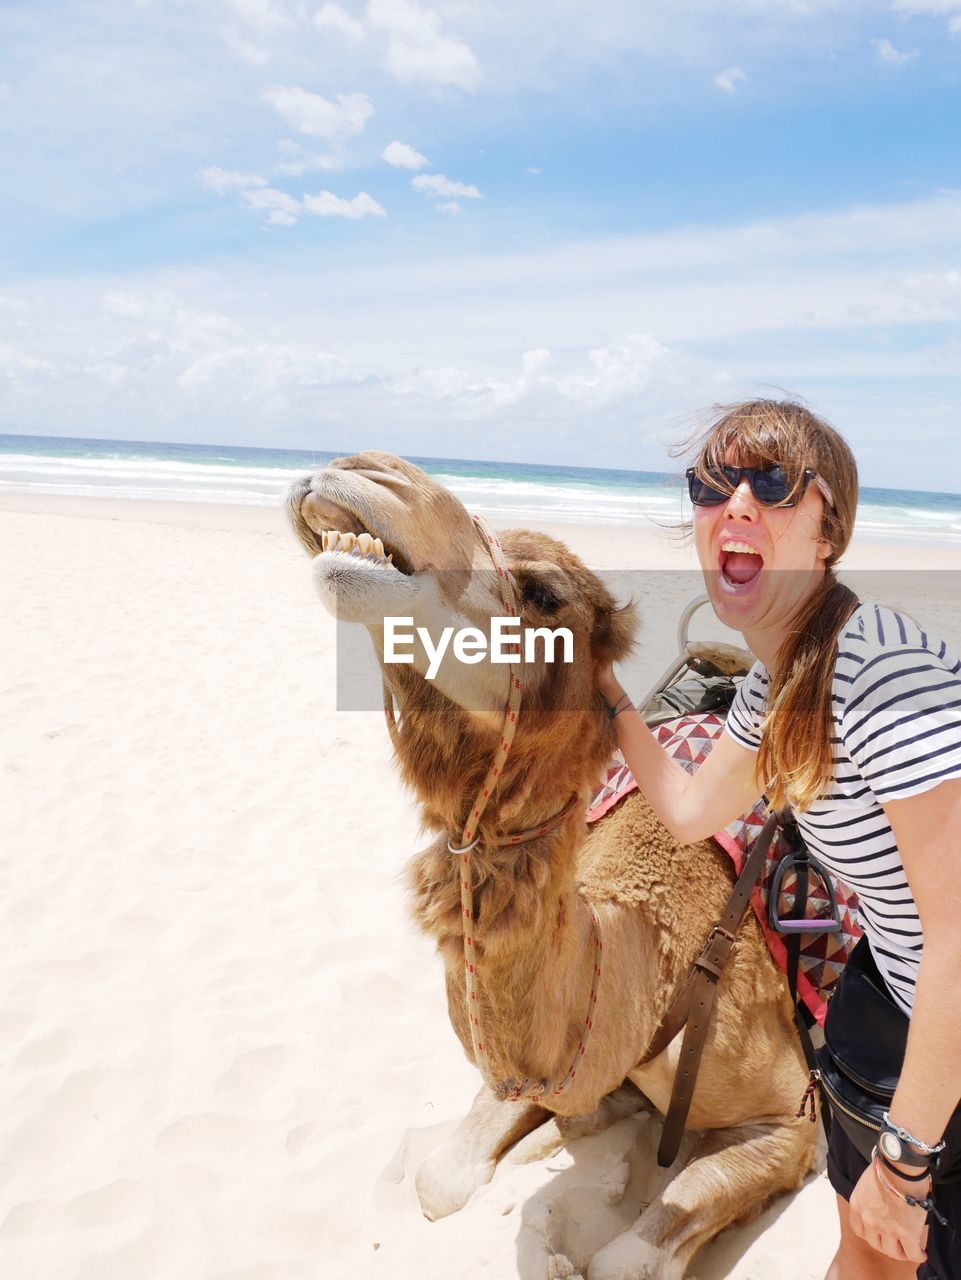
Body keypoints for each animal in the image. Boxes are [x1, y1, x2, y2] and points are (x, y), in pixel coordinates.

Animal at [289, 453, 813, 1280]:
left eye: (543, 594)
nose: (364, 470)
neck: (665, 966)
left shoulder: (791, 1118)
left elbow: (630, 1256)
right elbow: (441, 1181)